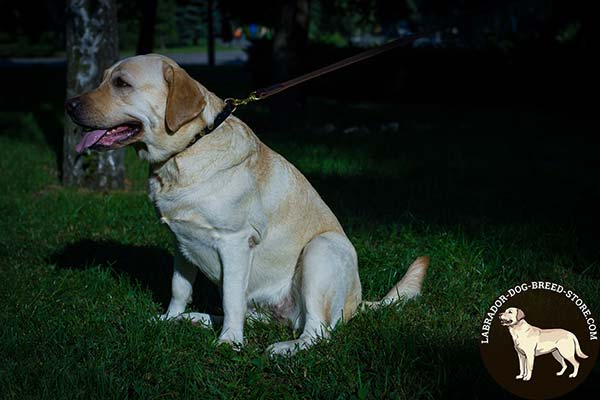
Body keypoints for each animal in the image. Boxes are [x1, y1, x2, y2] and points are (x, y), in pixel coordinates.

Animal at [65, 54, 428, 356]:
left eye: (122, 83)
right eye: (103, 79)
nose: (68, 104)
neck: (185, 152)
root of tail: (359, 302)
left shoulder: (235, 242)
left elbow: (231, 298)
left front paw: (229, 342)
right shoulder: (180, 243)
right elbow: (179, 289)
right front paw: (170, 319)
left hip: (322, 249)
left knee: (317, 330)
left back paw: (284, 348)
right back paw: (198, 318)